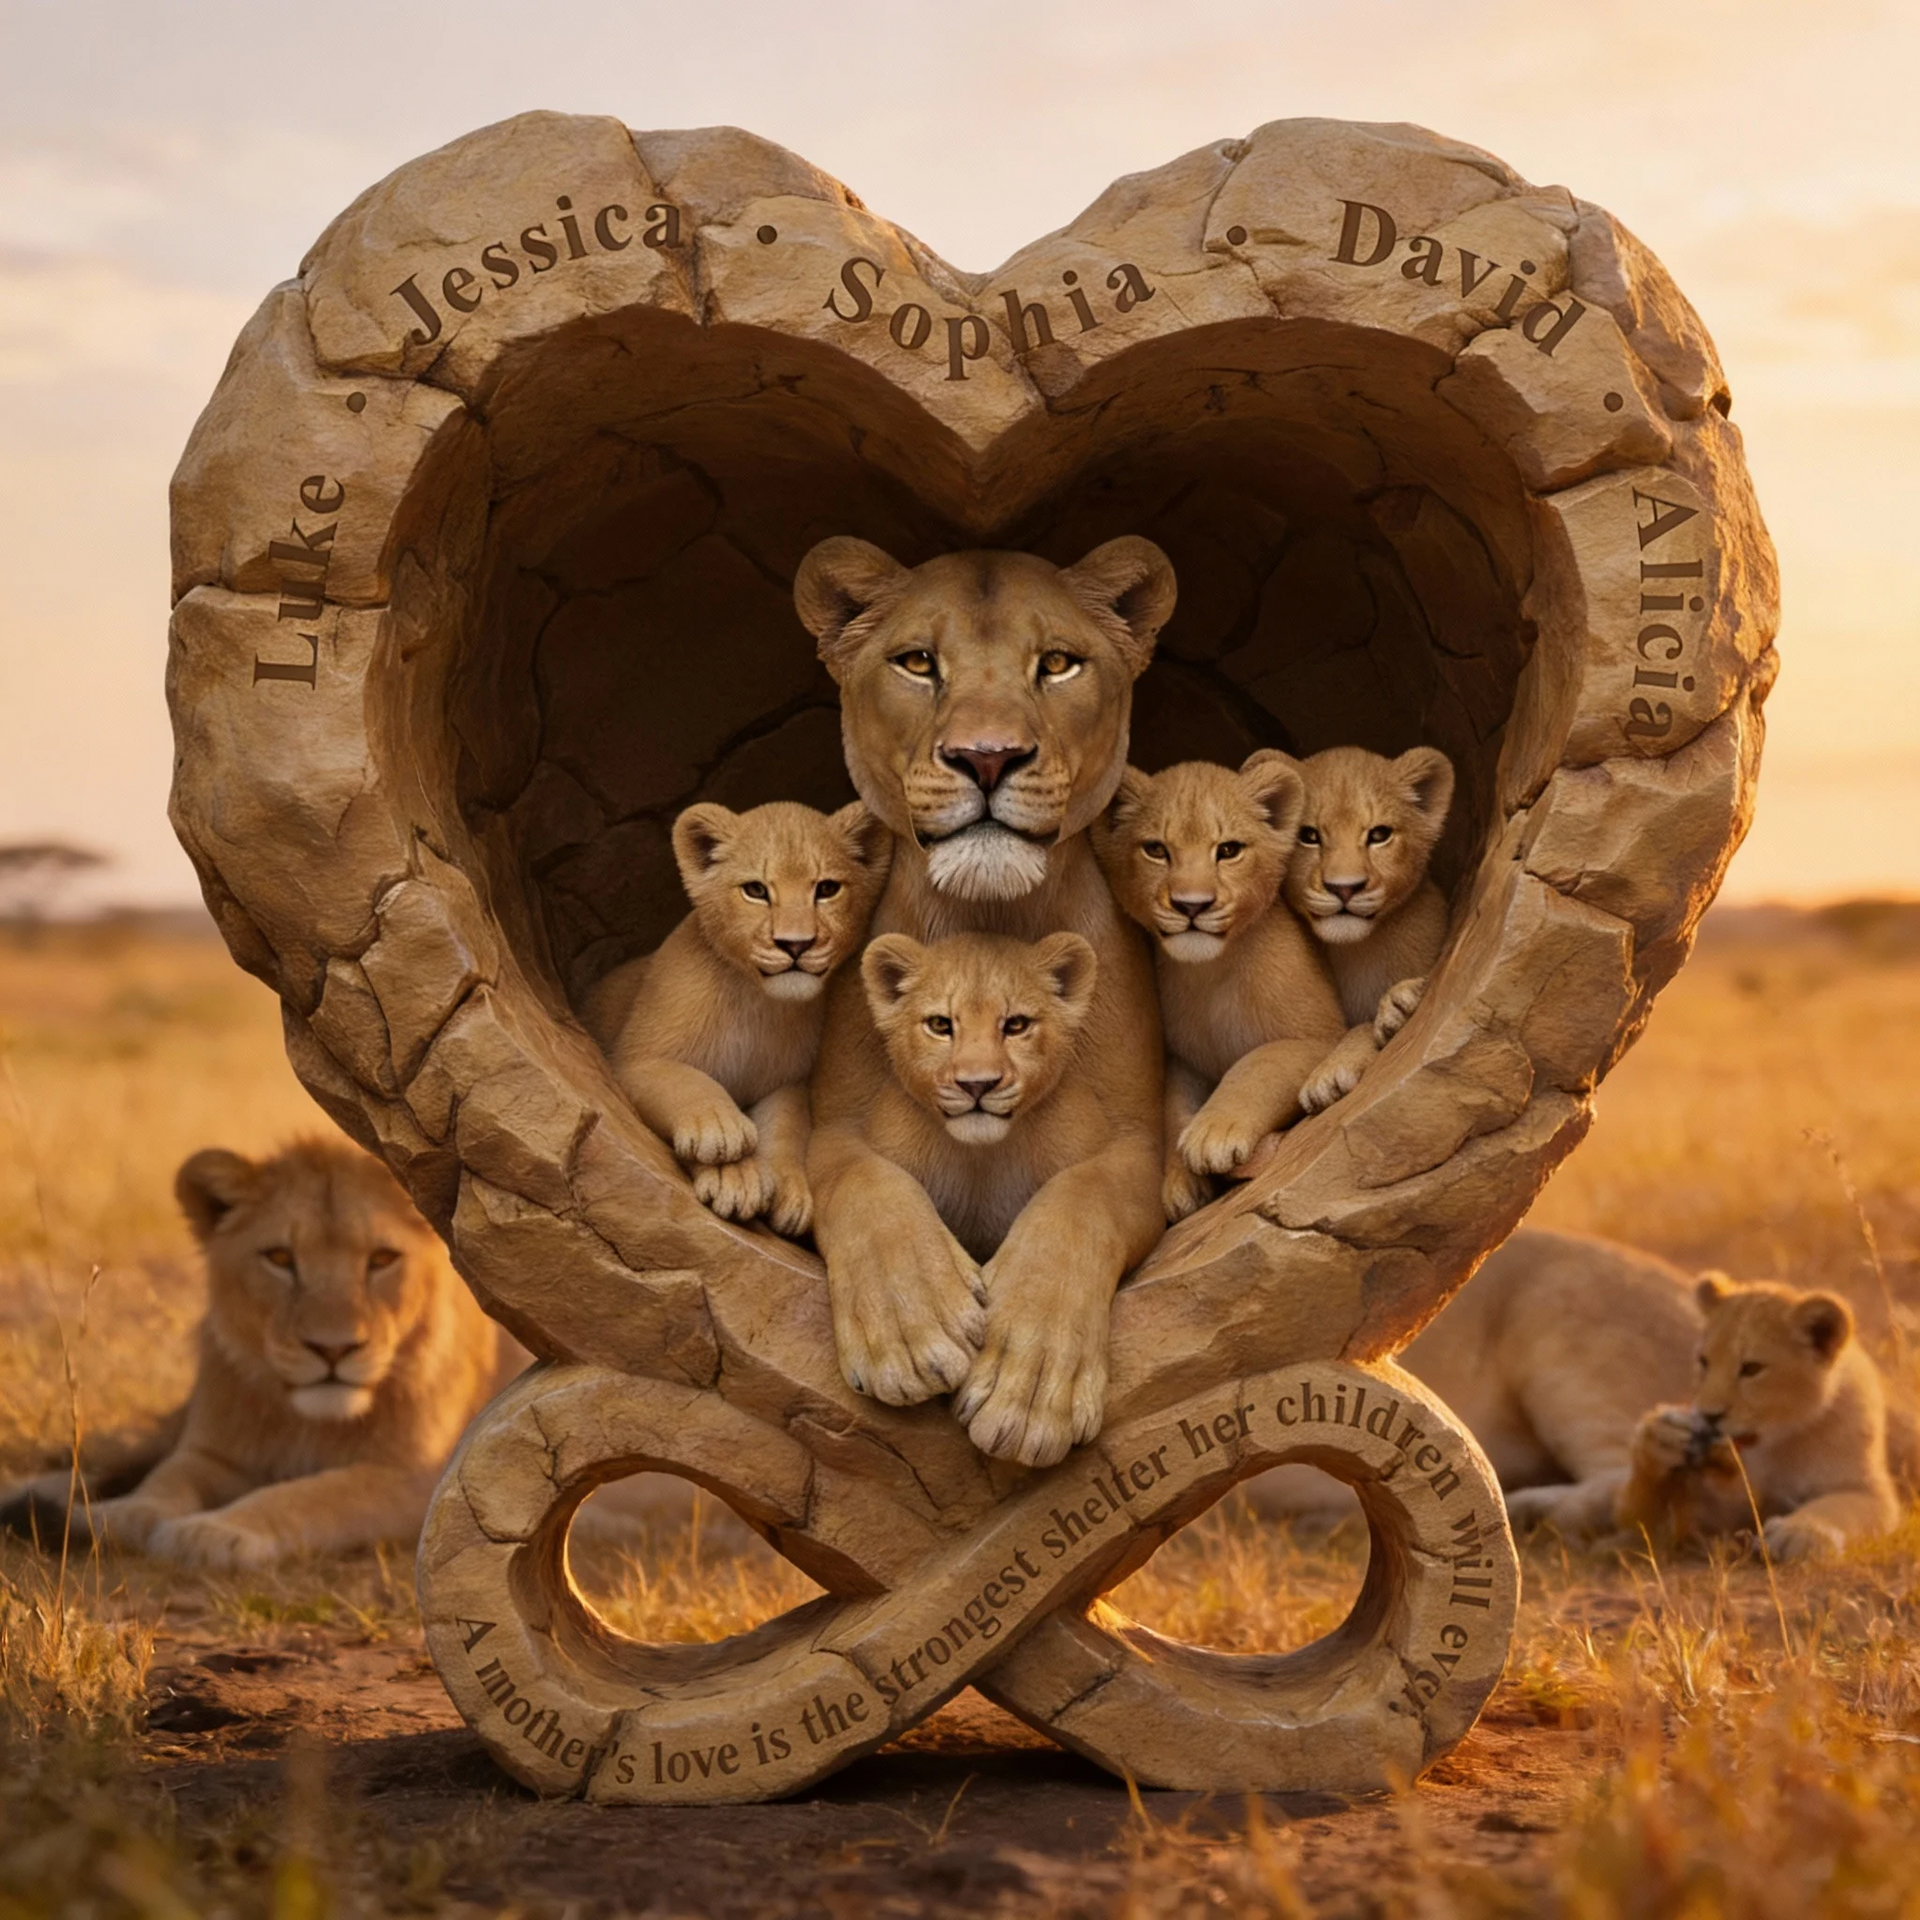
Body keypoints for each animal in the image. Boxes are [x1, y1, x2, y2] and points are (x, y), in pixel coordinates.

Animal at [0, 1140, 516, 1570]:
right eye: (280, 1259)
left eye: (383, 1259)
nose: (333, 1348)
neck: (310, 1421)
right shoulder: (215, 1451)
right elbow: (169, 1476)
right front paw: (125, 1515)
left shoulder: (416, 1479)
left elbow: (312, 1494)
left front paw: (212, 1530)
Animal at [583, 799, 891, 1236]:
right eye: (756, 890)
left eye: (827, 889)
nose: (795, 945)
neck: (755, 1002)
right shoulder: (633, 1060)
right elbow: (686, 1080)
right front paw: (724, 1146)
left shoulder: (784, 1082)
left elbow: (786, 1126)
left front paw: (788, 1190)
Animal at [793, 536, 1174, 1468]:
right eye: (918, 662)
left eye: (1059, 664)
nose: (988, 757)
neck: (988, 918)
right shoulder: (836, 1128)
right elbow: (866, 1187)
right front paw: (914, 1331)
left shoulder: (1136, 1147)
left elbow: (1077, 1208)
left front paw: (1029, 1392)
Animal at [1094, 754, 1347, 1222]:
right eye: (1156, 849)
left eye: (1228, 850)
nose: (1191, 906)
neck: (1210, 973)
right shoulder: (1183, 1060)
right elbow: (1175, 1107)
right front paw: (1179, 1186)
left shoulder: (1318, 1035)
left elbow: (1256, 1065)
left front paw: (1214, 1134)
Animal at [1265, 745, 1454, 1115]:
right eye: (1309, 836)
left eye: (1379, 835)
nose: (1344, 888)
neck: (1353, 952)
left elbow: (1366, 1024)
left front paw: (1399, 1005)